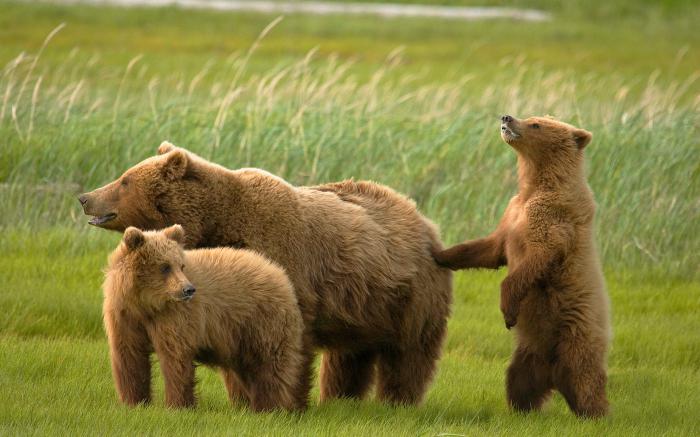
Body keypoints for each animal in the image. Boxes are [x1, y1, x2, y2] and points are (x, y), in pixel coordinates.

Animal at [102, 223, 304, 410]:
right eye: (165, 267)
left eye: (181, 265)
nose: (188, 289)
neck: (146, 304)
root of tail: (278, 272)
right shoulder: (124, 316)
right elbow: (130, 357)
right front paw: (134, 402)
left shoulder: (175, 317)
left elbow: (175, 358)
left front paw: (177, 405)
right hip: (236, 336)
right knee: (241, 370)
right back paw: (245, 404)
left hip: (262, 320)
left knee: (269, 364)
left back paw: (268, 406)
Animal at [434, 115, 608, 416]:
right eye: (532, 117)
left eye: (536, 124)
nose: (507, 117)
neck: (535, 185)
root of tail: (555, 376)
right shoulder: (512, 213)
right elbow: (490, 249)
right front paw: (440, 254)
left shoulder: (551, 218)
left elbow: (536, 257)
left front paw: (508, 311)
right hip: (529, 353)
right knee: (518, 379)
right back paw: (522, 408)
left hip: (576, 335)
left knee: (586, 376)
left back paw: (594, 412)